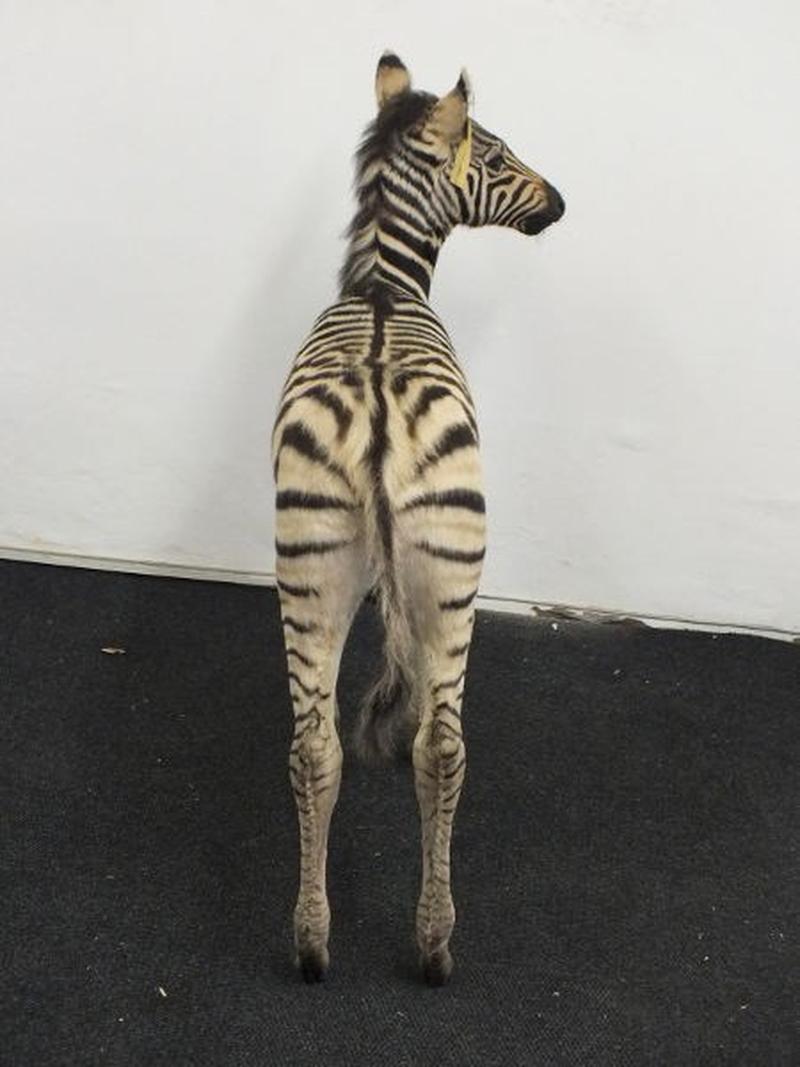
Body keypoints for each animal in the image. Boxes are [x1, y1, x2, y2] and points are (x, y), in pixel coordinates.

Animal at [272, 52, 564, 986]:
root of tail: (373, 409)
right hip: (454, 576)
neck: (381, 287)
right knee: (444, 749)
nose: (560, 203)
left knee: (314, 746)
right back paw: (435, 944)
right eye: (496, 153)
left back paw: (312, 940)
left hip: (311, 565)